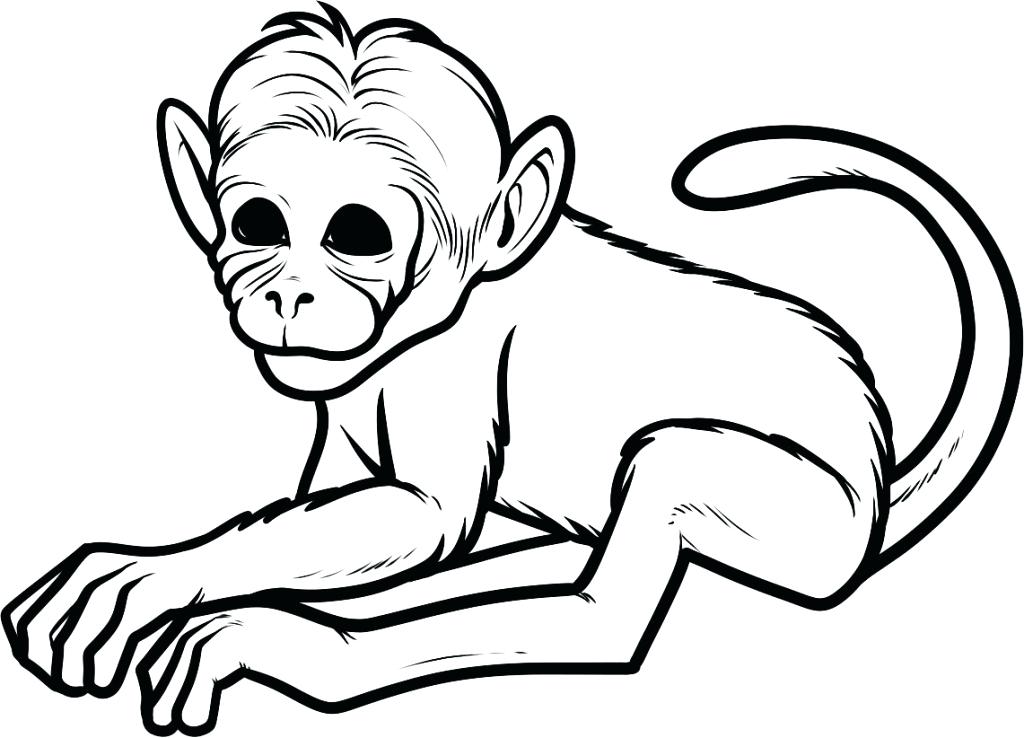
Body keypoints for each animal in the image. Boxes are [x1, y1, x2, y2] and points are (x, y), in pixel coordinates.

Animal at [3, 4, 1020, 735]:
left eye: (356, 235)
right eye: (258, 224)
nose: (289, 294)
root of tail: (878, 477)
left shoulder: (447, 367)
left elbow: (426, 516)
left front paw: (181, 584)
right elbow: (337, 511)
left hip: (811, 520)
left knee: (612, 590)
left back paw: (313, 650)